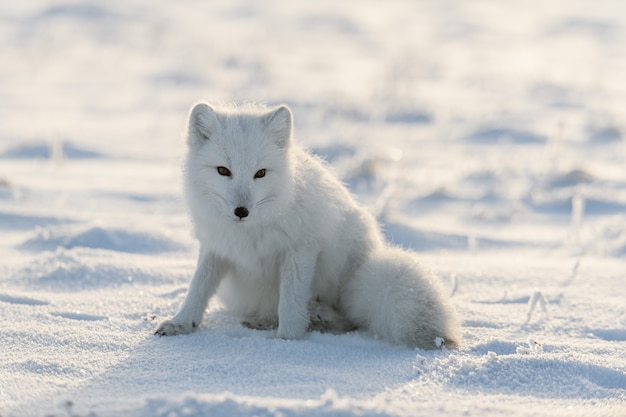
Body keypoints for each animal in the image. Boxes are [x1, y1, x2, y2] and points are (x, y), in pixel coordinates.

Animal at [154, 101, 460, 348]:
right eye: (223, 170)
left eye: (260, 173)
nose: (241, 211)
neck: (249, 232)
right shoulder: (216, 247)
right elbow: (197, 288)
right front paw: (181, 324)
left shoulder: (300, 250)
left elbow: (290, 302)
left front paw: (288, 342)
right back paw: (266, 320)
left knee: (346, 319)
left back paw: (317, 316)